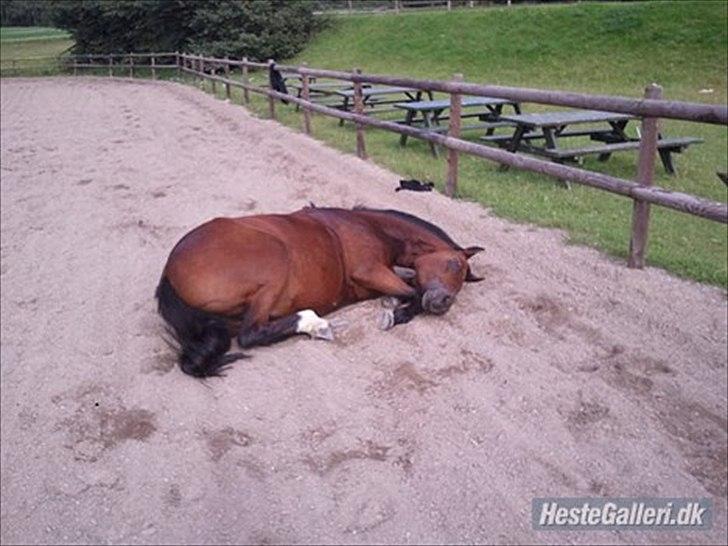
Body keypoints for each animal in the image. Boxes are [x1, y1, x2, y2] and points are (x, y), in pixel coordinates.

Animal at [156, 204, 480, 374]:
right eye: (453, 264)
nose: (444, 302)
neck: (371, 227)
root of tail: (169, 269)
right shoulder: (369, 271)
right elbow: (413, 294)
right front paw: (395, 313)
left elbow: (412, 288)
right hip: (275, 260)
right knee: (251, 334)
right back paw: (316, 324)